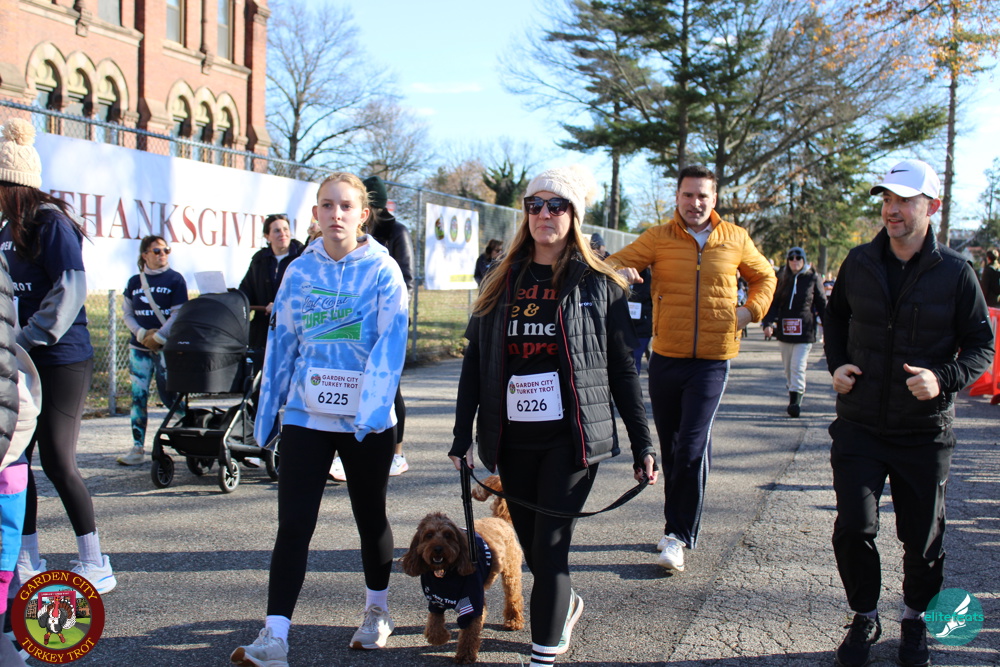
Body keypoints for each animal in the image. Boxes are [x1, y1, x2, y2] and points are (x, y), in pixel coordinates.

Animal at [400, 512, 524, 664]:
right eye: (429, 535)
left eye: (448, 535)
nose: (438, 549)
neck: (445, 573)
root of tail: (499, 519)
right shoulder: (435, 600)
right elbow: (434, 625)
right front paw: (440, 638)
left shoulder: (470, 602)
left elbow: (468, 634)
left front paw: (465, 655)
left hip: (510, 573)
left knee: (513, 598)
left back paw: (514, 621)